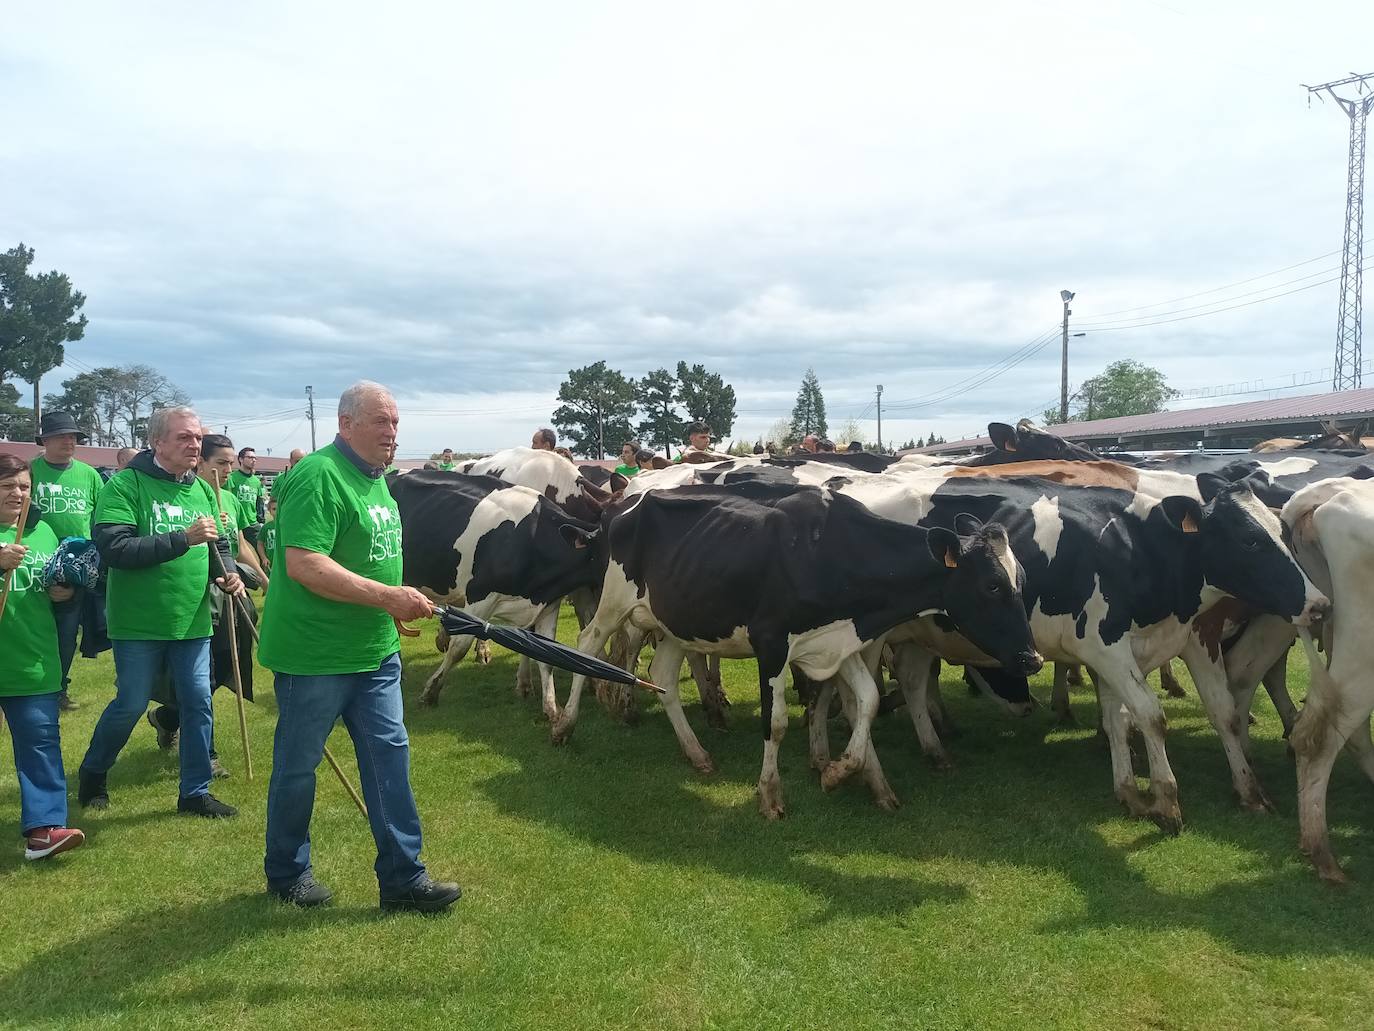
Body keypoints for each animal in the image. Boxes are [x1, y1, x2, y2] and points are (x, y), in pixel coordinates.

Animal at [387, 472, 601, 714]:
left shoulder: (548, 604)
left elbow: (548, 656)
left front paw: (552, 709)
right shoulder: (479, 596)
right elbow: (459, 647)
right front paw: (430, 693)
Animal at [552, 486, 1033, 824]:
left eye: (1022, 580)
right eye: (992, 585)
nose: (1031, 658)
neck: (831, 553)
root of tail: (621, 506)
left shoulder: (839, 642)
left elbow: (868, 701)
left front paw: (837, 772)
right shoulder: (772, 643)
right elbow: (777, 722)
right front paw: (770, 796)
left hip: (679, 620)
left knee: (664, 676)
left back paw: (697, 754)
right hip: (615, 601)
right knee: (587, 645)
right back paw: (564, 725)